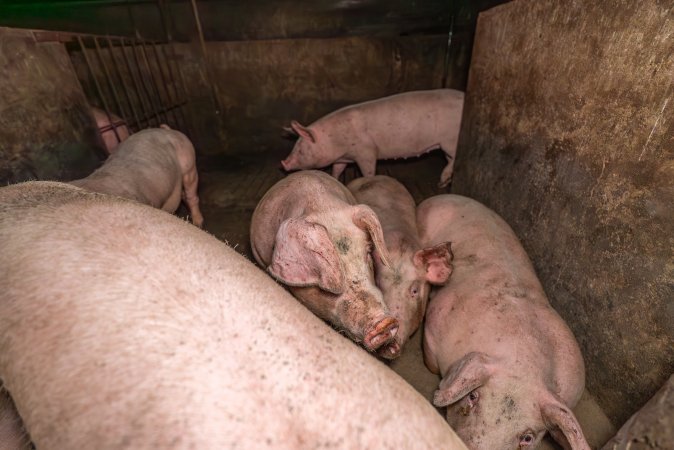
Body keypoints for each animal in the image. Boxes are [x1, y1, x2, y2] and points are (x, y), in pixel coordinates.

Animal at [282, 89, 464, 188]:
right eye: (295, 146)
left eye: (300, 149)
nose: (283, 163)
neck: (336, 140)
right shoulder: (343, 158)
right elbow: (337, 169)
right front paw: (334, 179)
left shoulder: (366, 151)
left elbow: (368, 171)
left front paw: (369, 181)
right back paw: (443, 183)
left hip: (450, 140)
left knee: (455, 158)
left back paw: (441, 181)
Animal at [417, 195, 590, 450]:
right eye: (473, 396)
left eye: (527, 437)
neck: (524, 363)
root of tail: (446, 196)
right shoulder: (435, 322)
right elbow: (431, 362)